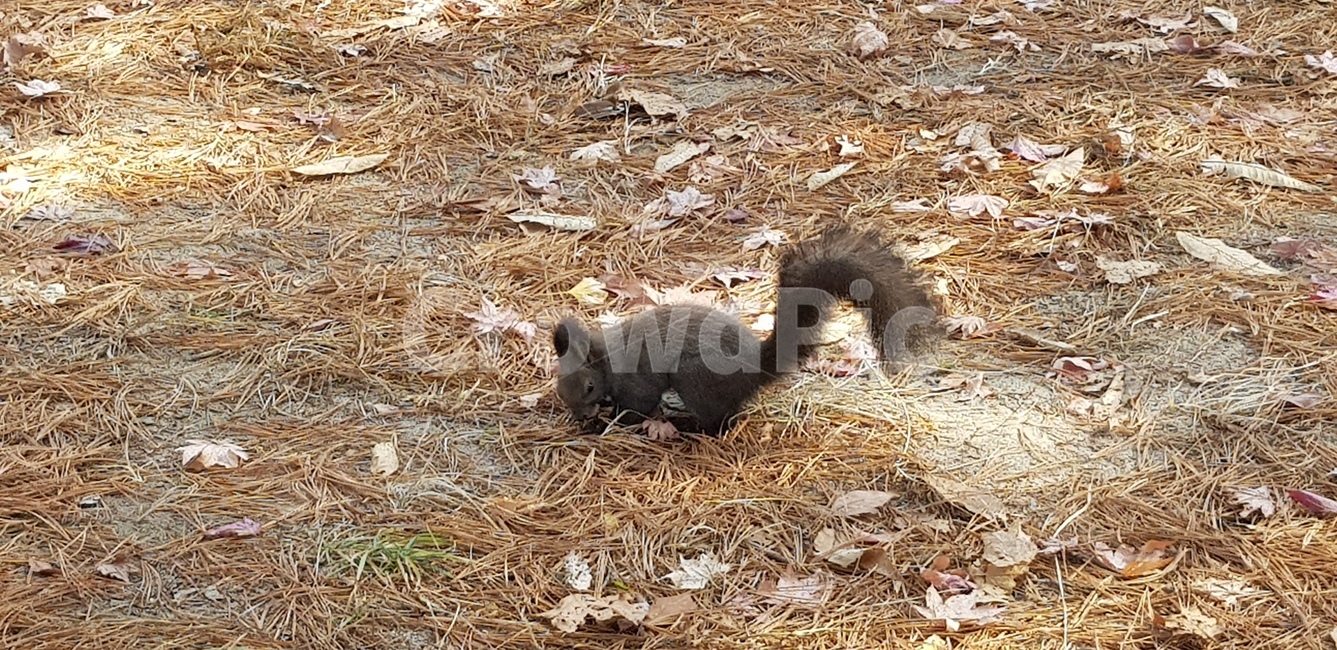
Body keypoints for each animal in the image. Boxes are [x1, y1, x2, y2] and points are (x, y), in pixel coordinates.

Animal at [551, 224, 939, 436]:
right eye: (558, 386)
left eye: (588, 385)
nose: (580, 415)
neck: (606, 357)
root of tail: (754, 368)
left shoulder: (636, 380)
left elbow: (638, 406)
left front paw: (609, 422)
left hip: (696, 381)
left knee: (721, 421)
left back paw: (694, 427)